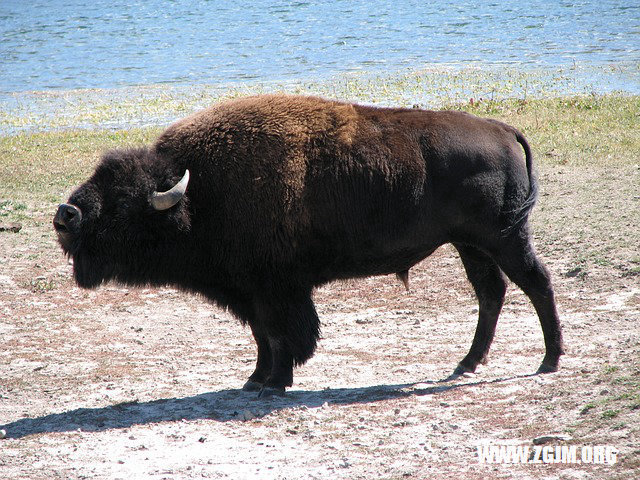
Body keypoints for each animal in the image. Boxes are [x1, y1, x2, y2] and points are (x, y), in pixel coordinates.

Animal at [55, 94, 564, 398]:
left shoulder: (277, 289)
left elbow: (284, 335)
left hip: (503, 238)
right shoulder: (252, 292)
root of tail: (503, 130)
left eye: (123, 201)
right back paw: (466, 364)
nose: (66, 215)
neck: (198, 194)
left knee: (536, 283)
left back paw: (548, 361)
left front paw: (276, 382)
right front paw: (255, 380)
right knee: (491, 292)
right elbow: (262, 336)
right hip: (469, 245)